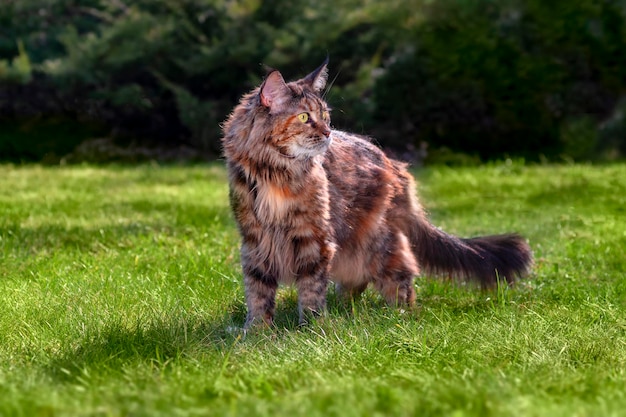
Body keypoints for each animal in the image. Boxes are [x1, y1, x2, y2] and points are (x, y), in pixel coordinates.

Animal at [221, 58, 532, 326]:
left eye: (325, 116)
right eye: (304, 117)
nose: (328, 133)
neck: (275, 173)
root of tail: (394, 164)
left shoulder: (314, 236)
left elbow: (310, 288)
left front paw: (312, 327)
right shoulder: (255, 239)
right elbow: (258, 289)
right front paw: (257, 331)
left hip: (375, 240)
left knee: (402, 274)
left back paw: (399, 315)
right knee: (357, 282)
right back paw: (345, 309)